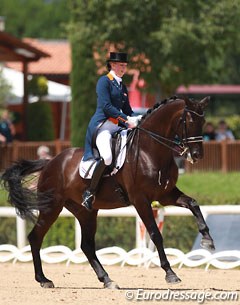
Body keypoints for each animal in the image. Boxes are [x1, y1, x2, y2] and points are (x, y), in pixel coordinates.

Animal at [0, 95, 214, 288]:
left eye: (203, 121)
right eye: (189, 121)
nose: (197, 155)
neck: (150, 150)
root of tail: (50, 162)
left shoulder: (165, 195)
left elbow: (193, 203)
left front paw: (207, 240)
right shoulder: (140, 200)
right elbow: (155, 233)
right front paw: (170, 273)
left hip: (85, 211)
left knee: (86, 245)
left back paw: (106, 279)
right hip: (51, 207)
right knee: (36, 237)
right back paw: (43, 279)